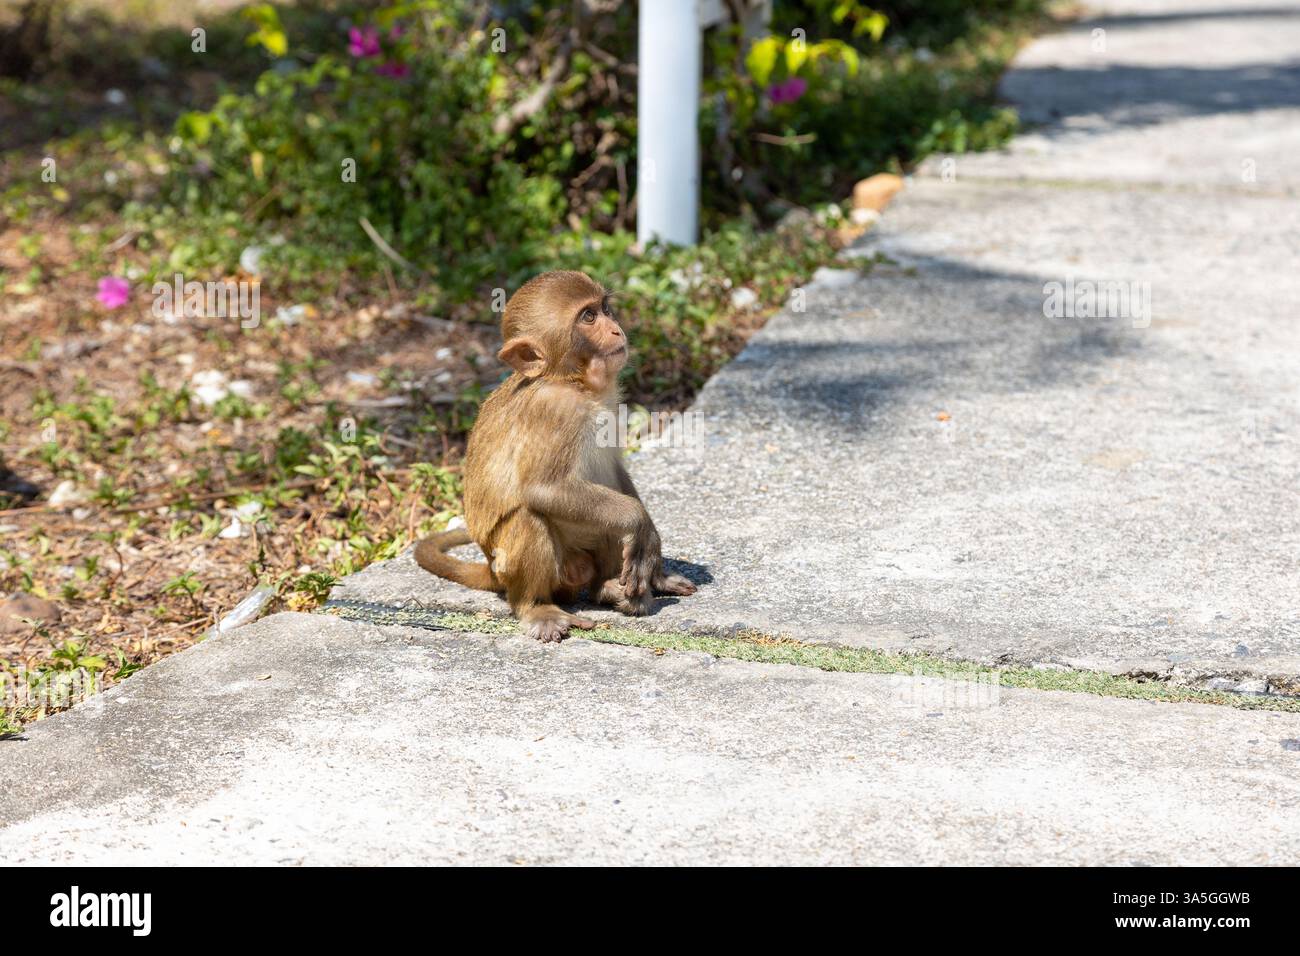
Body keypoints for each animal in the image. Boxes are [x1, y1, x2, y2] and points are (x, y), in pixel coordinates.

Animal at [414, 270, 696, 642]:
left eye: (605, 308)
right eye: (588, 317)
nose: (616, 329)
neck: (571, 381)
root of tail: (491, 570)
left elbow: (614, 470)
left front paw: (655, 561)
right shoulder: (554, 411)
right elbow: (543, 490)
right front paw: (641, 524)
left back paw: (606, 588)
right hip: (520, 569)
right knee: (529, 518)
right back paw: (537, 608)